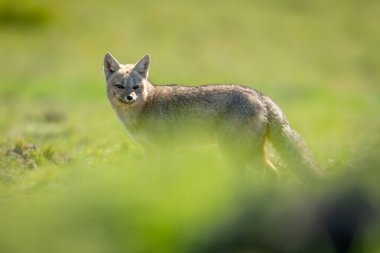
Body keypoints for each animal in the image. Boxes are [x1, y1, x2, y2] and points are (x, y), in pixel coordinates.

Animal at [104, 52, 324, 177]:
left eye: (136, 87)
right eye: (120, 86)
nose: (130, 97)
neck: (144, 107)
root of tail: (259, 95)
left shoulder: (165, 149)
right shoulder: (148, 150)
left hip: (233, 152)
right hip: (250, 152)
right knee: (272, 172)